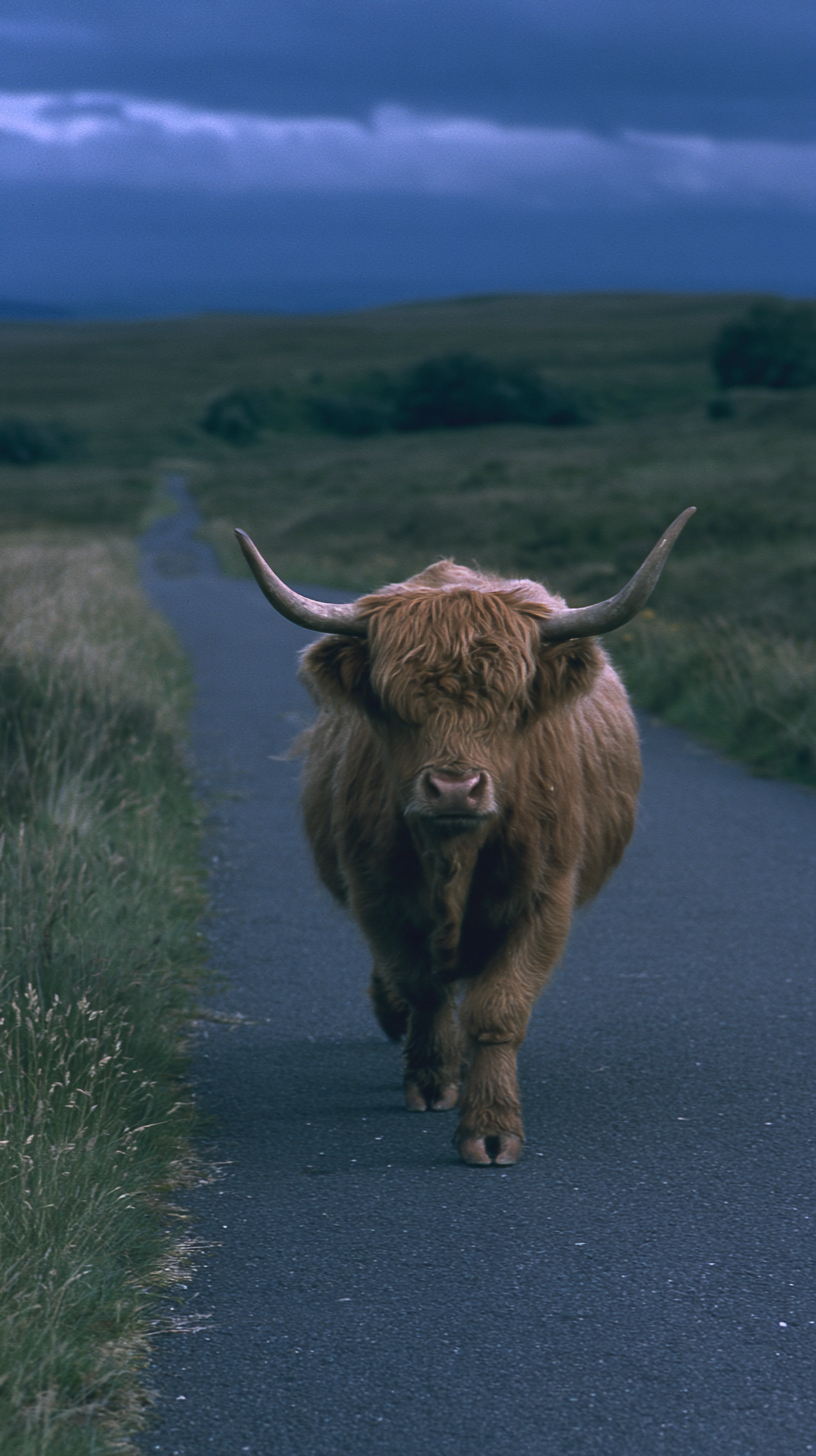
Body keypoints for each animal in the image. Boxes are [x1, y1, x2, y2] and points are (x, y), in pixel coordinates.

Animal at [235, 509, 695, 1166]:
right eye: (393, 704)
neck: (452, 856)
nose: (455, 787)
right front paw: (430, 1078)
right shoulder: (376, 893)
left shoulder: (544, 899)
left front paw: (493, 1125)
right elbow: (422, 987)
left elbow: (498, 1009)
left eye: (511, 705)